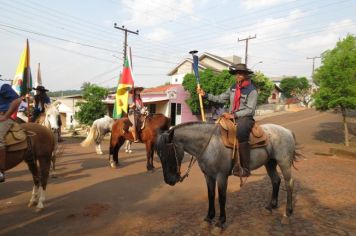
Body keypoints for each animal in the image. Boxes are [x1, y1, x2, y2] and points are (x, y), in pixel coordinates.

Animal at [157, 122, 298, 230]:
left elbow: (221, 198)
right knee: (276, 180)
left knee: (289, 183)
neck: (209, 145)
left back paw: (287, 213)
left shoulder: (221, 176)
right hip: (270, 163)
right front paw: (208, 218)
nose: (169, 180)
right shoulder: (208, 176)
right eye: (159, 155)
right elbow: (211, 196)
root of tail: (287, 131)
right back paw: (270, 207)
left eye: (169, 153)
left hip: (284, 162)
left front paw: (220, 222)